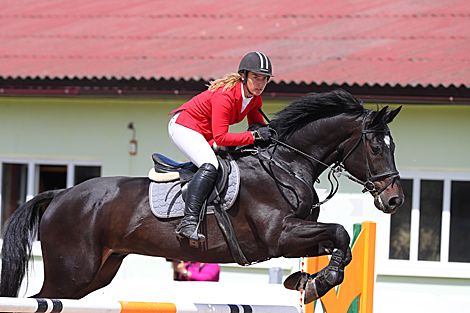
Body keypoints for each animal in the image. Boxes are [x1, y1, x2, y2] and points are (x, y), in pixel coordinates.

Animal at [0, 89, 404, 302]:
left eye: (393, 146)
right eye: (375, 148)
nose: (394, 200)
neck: (286, 165)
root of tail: (61, 195)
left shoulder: (293, 238)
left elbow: (341, 244)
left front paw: (305, 282)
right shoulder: (280, 235)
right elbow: (340, 232)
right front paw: (316, 284)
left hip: (97, 272)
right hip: (72, 272)